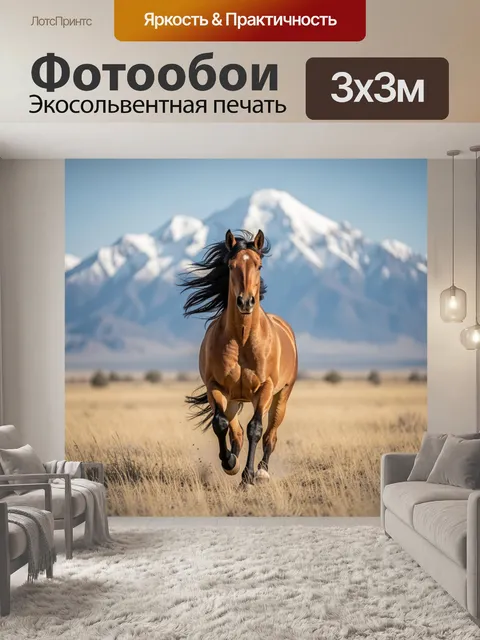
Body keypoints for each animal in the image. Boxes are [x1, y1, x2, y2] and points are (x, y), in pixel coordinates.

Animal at [180, 229, 298, 486]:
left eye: (259, 265)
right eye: (231, 265)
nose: (245, 301)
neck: (243, 340)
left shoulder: (265, 388)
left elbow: (256, 428)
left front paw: (248, 477)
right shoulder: (216, 387)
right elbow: (220, 424)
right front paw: (230, 463)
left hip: (281, 397)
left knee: (270, 434)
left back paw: (262, 471)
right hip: (233, 400)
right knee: (236, 431)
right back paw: (234, 459)